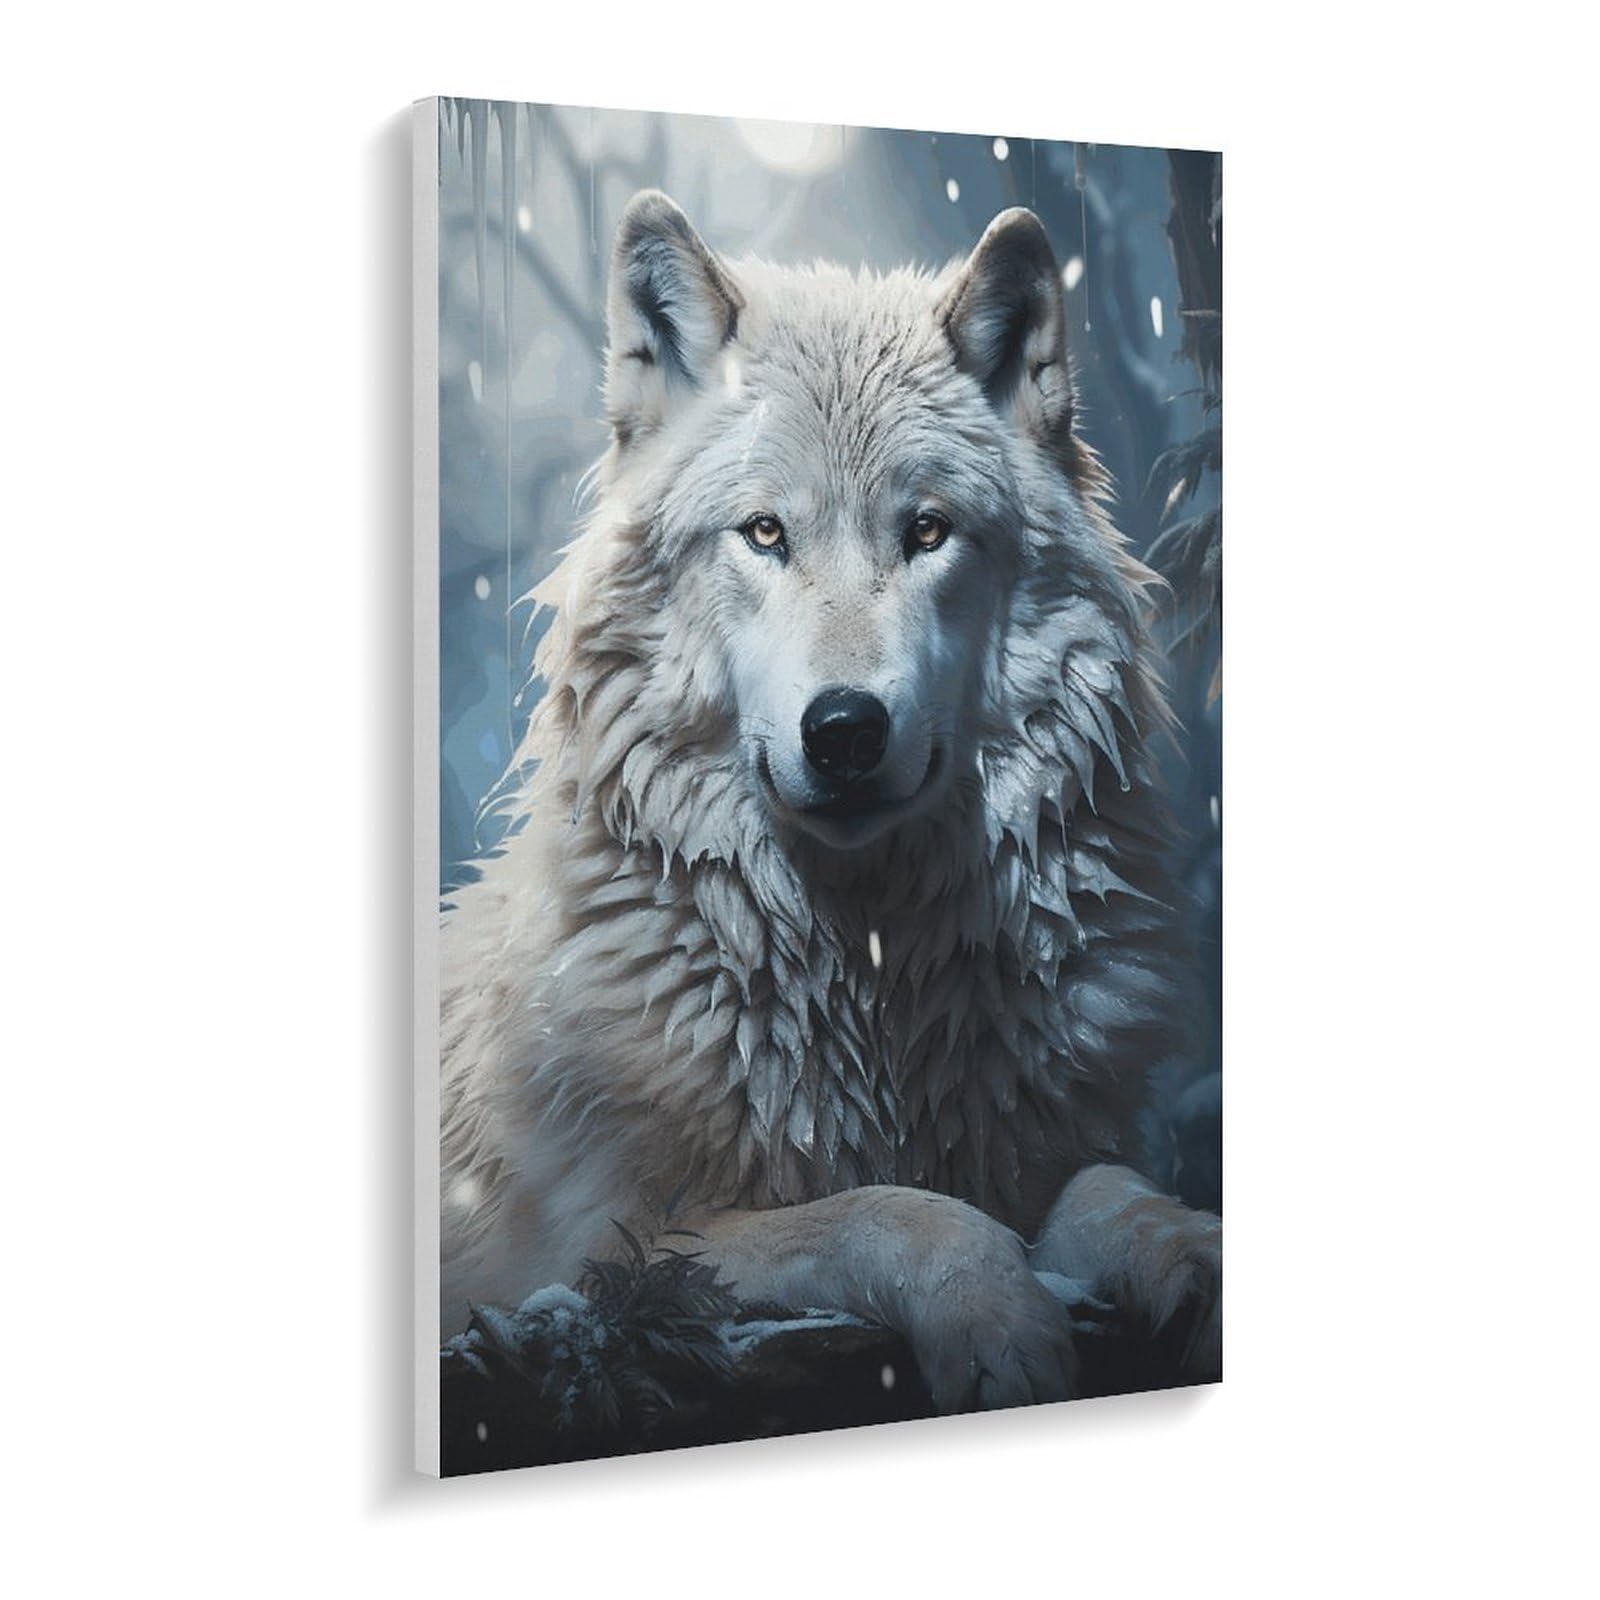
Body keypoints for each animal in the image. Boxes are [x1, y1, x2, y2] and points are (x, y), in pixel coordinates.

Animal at [439, 190, 1221, 1410]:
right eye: (765, 533)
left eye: (928, 531)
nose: (846, 729)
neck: (864, 966)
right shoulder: (594, 1253)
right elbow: (886, 1211)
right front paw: (1000, 1326)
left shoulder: (1043, 1155)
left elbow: (1105, 1188)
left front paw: (1187, 1252)